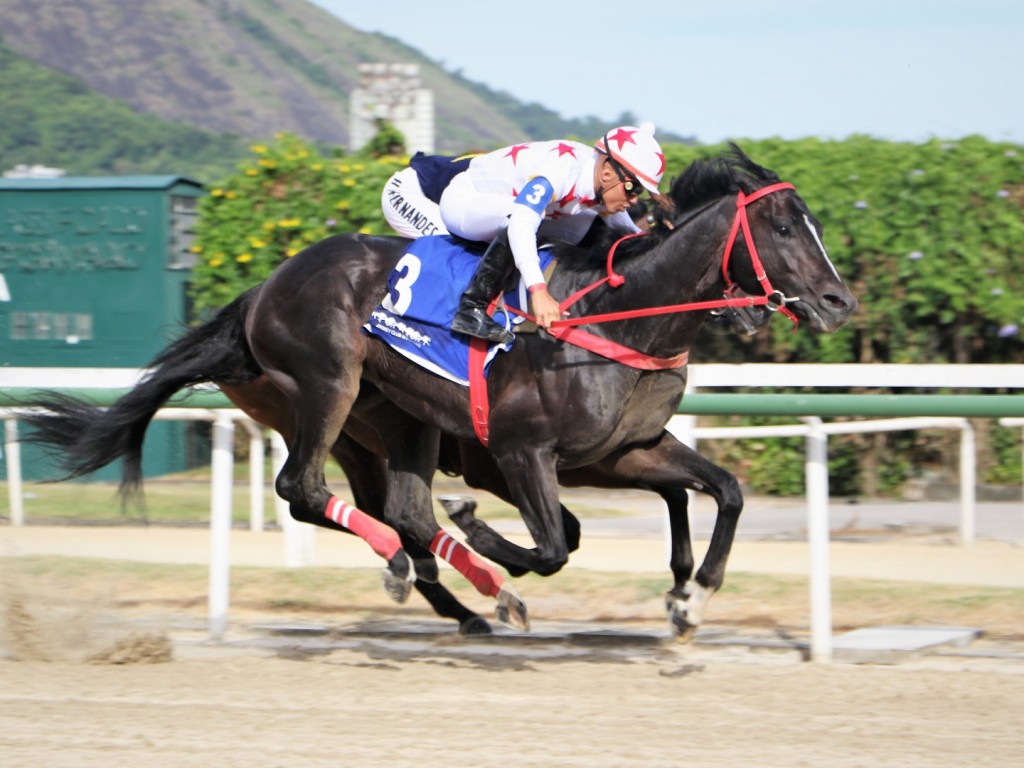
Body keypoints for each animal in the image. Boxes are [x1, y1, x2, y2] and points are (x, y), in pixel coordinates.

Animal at [22, 147, 856, 638]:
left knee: (400, 507)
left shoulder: (626, 449)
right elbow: (556, 543)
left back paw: (459, 589)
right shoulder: (522, 451)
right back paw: (427, 567)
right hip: (328, 390)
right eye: (785, 226)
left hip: (401, 420)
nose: (839, 302)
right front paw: (486, 535)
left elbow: (720, 490)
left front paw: (692, 595)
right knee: (311, 491)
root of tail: (263, 289)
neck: (616, 317)